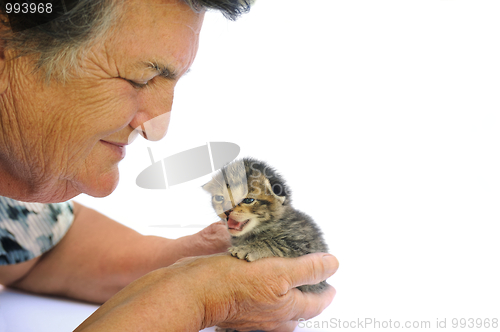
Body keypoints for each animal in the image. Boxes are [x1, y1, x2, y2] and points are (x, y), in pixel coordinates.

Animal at [201, 158, 330, 294]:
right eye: (219, 198)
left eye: (248, 200)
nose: (226, 211)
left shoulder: (304, 243)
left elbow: (273, 242)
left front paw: (247, 248)